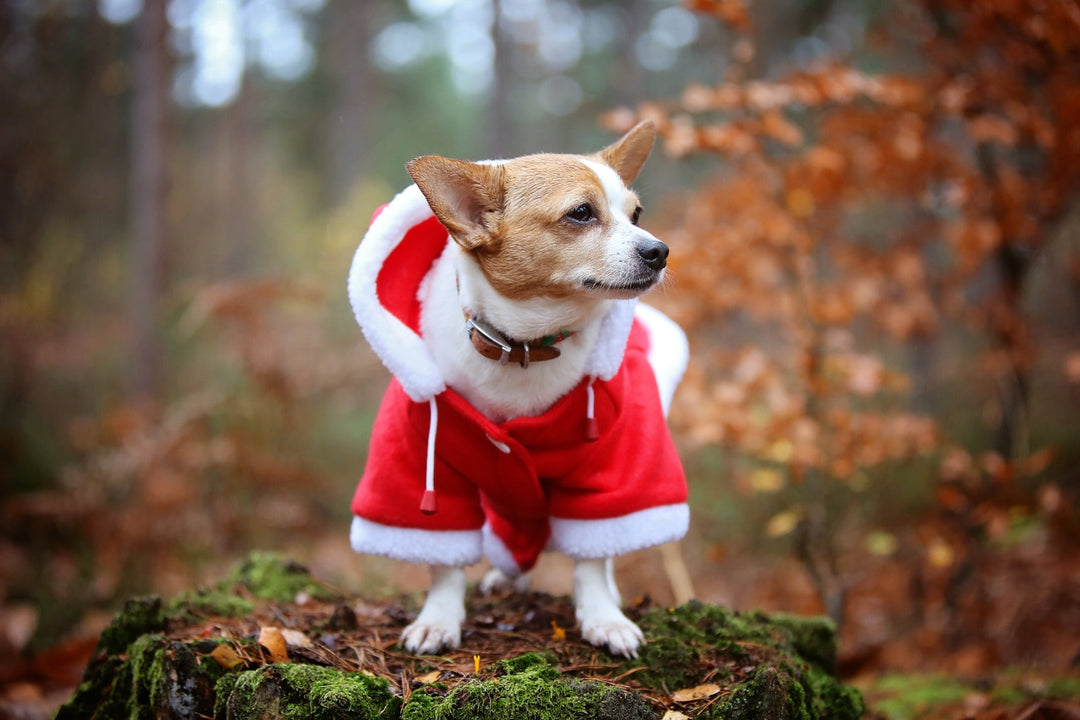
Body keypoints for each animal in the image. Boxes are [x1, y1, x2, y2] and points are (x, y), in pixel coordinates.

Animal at [349, 122, 686, 660]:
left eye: (636, 214)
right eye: (581, 213)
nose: (659, 250)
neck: (525, 346)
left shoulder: (611, 466)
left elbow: (593, 559)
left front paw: (603, 618)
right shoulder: (422, 459)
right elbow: (443, 561)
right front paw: (438, 620)